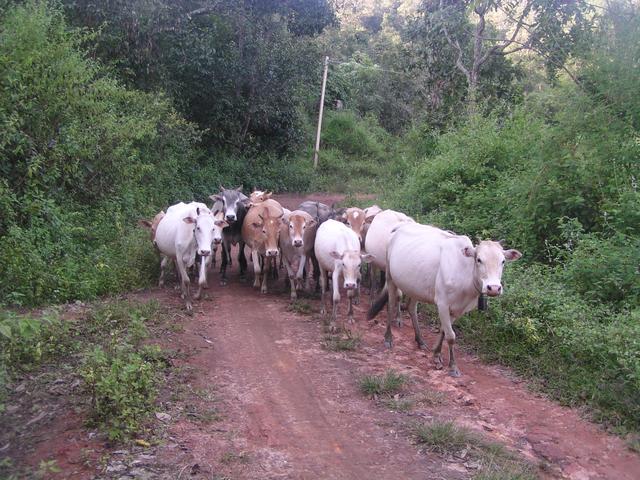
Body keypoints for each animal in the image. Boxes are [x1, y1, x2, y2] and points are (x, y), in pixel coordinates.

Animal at [368, 223, 521, 377]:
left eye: (503, 261)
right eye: (479, 259)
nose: (494, 288)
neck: (464, 274)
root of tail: (401, 225)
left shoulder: (458, 310)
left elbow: (444, 330)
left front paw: (436, 355)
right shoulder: (442, 304)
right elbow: (451, 336)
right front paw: (453, 366)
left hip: (414, 287)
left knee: (412, 308)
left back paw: (420, 340)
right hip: (390, 278)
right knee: (391, 304)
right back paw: (388, 338)